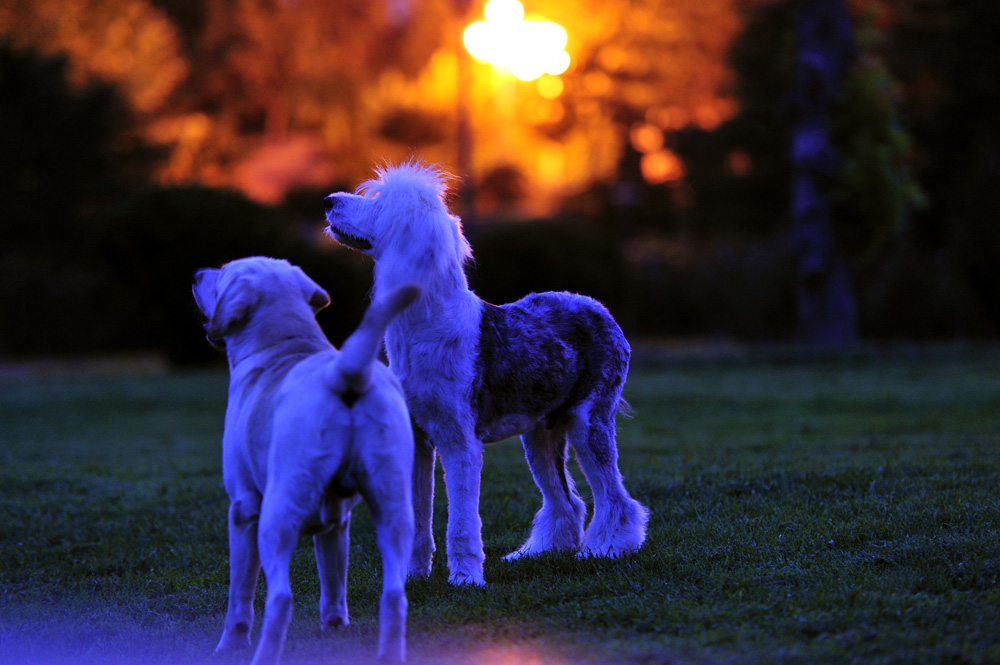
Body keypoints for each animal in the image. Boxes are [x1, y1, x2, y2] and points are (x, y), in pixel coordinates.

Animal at [193, 256, 420, 660]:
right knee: (395, 595)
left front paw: (229, 645)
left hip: (276, 516)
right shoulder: (336, 524)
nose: (195, 275)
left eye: (222, 273)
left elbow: (240, 595)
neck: (286, 344)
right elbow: (333, 581)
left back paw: (262, 657)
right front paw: (335, 628)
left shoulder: (243, 511)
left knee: (280, 599)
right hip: (394, 507)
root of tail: (346, 372)